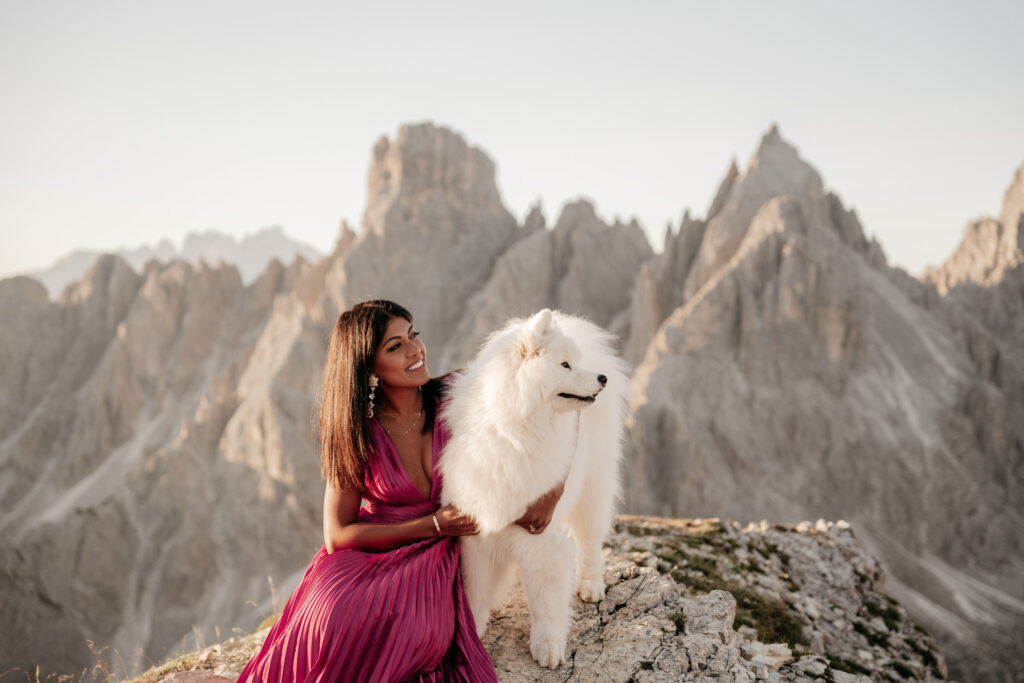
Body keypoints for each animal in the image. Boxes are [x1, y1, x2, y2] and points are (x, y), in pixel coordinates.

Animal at [438, 309, 626, 667]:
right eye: (564, 365)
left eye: (573, 362)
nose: (603, 379)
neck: (512, 430)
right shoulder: (477, 532)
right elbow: (476, 590)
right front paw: (474, 627)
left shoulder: (542, 540)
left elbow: (547, 603)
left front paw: (548, 646)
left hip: (592, 490)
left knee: (590, 541)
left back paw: (591, 585)